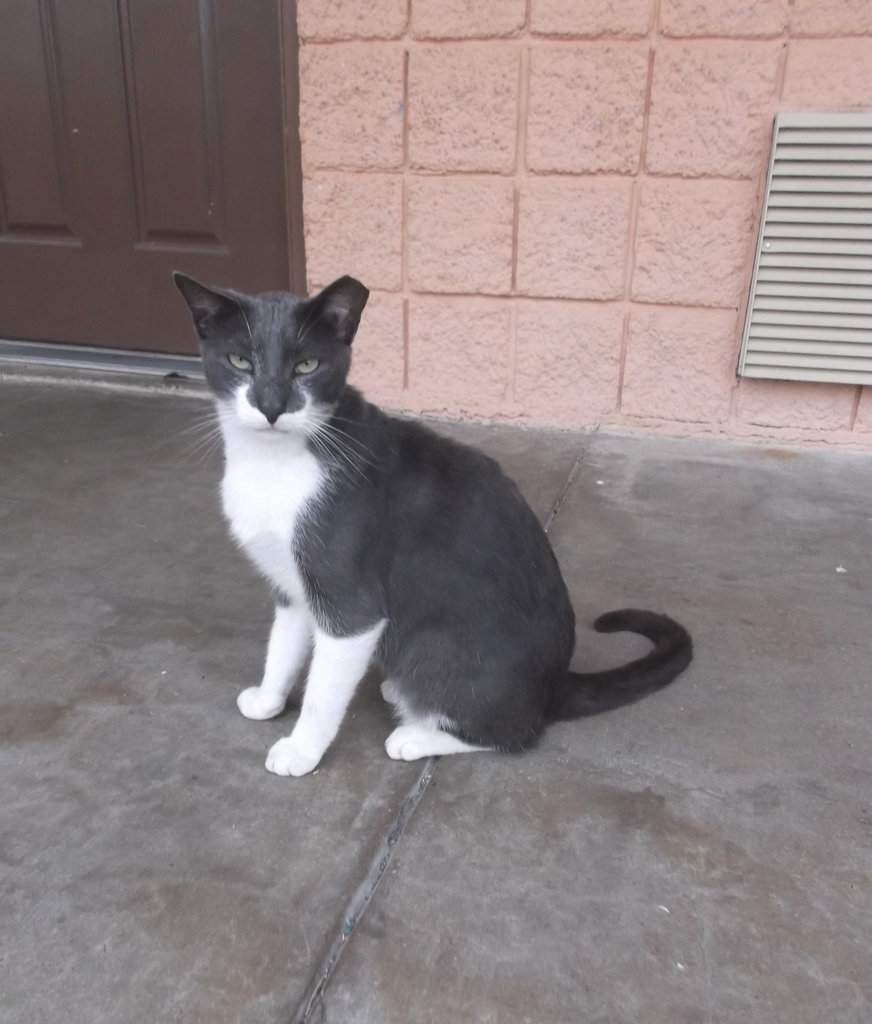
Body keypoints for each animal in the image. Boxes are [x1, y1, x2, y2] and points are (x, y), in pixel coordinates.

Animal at [173, 272, 691, 774]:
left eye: (306, 366)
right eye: (240, 360)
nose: (271, 405)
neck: (274, 461)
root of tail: (555, 684)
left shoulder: (351, 602)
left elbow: (323, 690)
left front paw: (301, 750)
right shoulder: (294, 585)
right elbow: (282, 645)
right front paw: (268, 698)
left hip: (442, 648)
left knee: (516, 733)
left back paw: (416, 734)